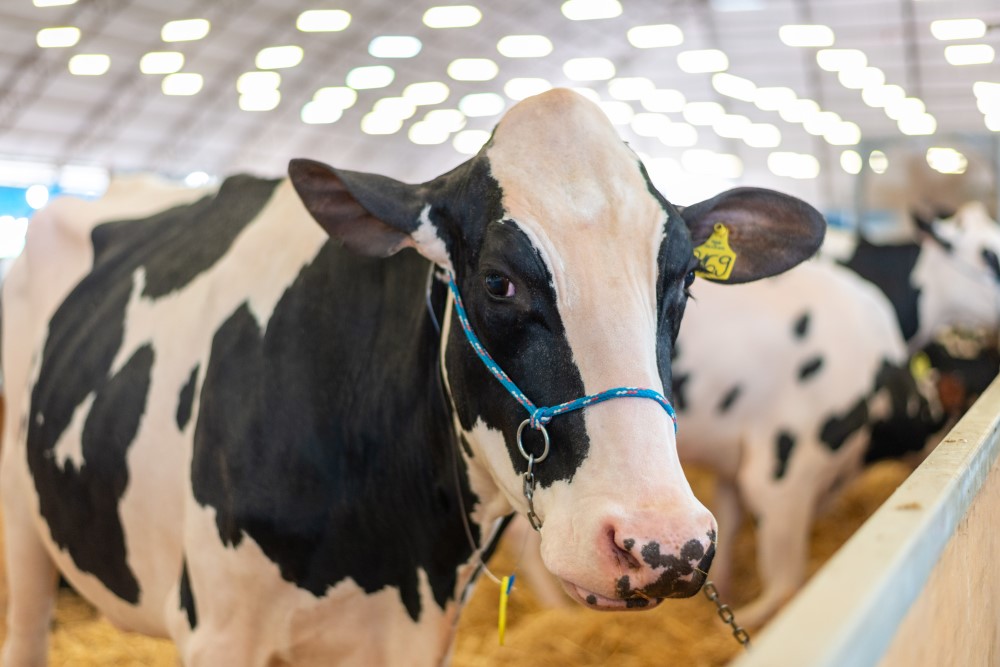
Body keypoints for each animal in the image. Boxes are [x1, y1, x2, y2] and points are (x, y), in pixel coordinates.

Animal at [0, 89, 825, 666]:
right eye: (497, 282)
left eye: (683, 281)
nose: (664, 543)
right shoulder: (218, 628)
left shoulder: (417, 629)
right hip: (23, 513)